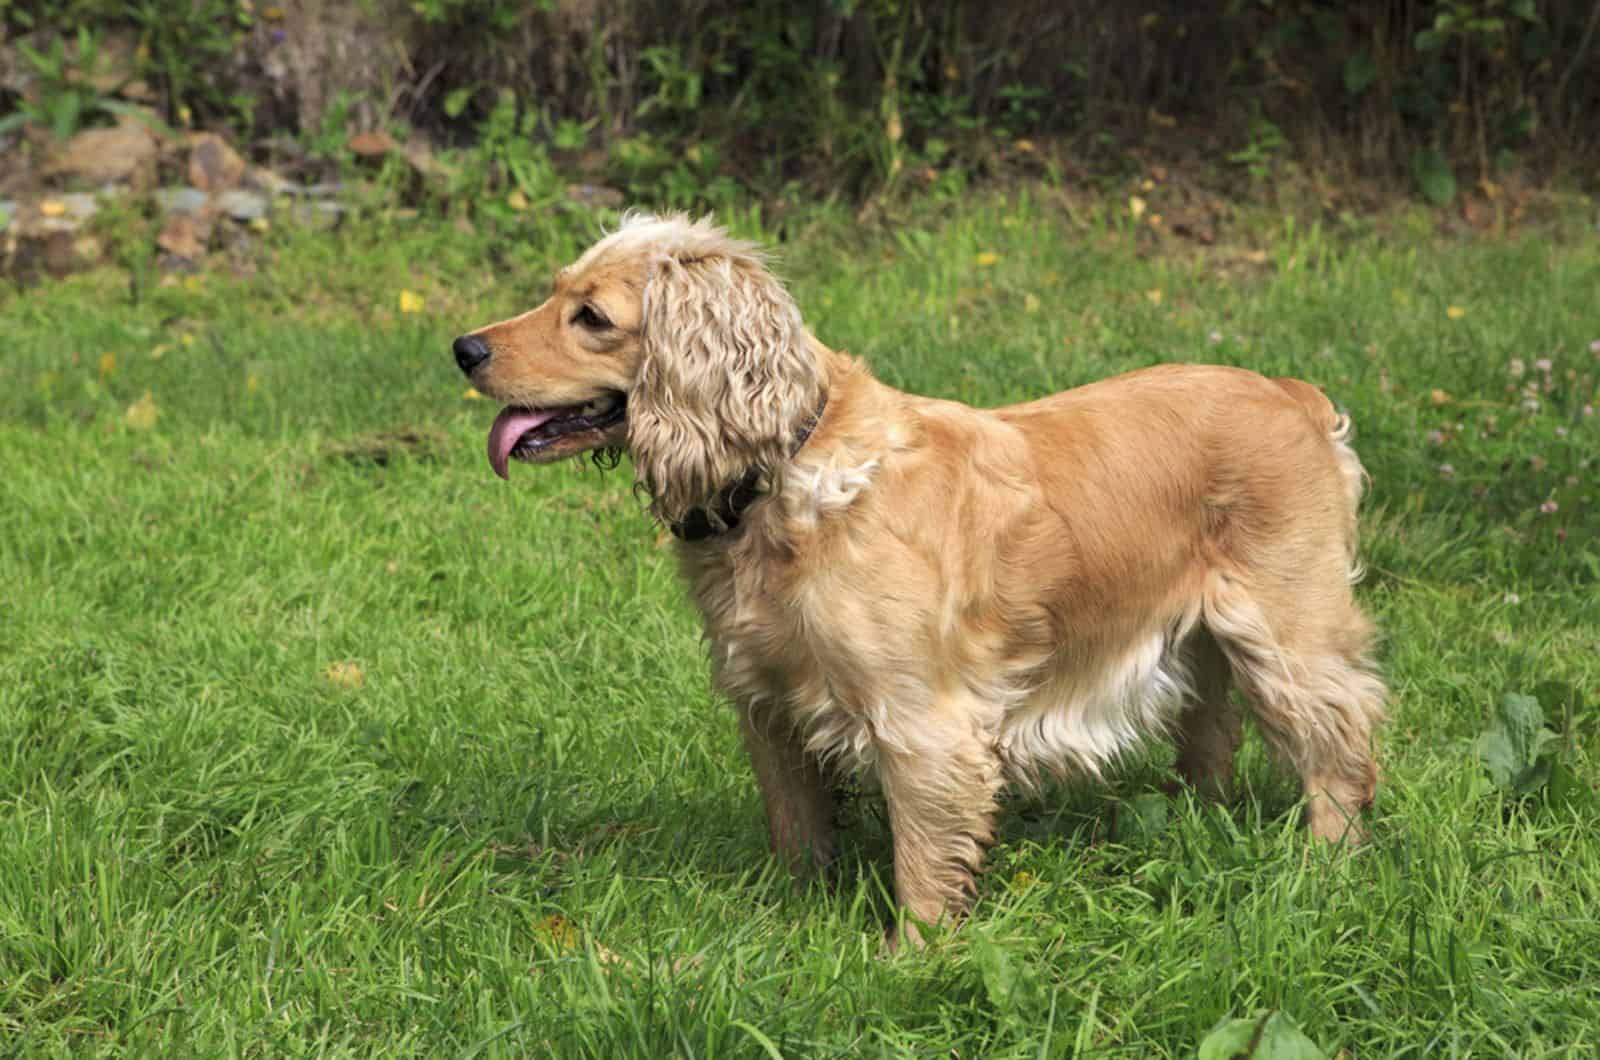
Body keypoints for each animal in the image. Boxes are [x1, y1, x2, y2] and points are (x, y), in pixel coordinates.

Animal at [454, 214, 1388, 947]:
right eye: (553, 293)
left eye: (592, 318)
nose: (463, 348)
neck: (787, 472)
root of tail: (1293, 395)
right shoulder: (766, 705)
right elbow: (798, 830)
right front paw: (793, 918)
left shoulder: (921, 725)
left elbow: (923, 867)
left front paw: (911, 959)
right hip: (1203, 644)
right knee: (1213, 734)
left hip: (1288, 635)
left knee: (1340, 749)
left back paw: (1326, 866)